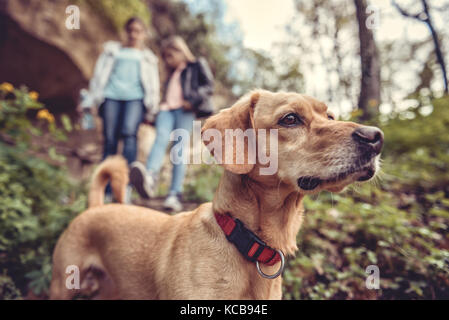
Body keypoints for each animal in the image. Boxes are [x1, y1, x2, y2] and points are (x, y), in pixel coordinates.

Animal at [50, 90, 384, 300]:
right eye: (290, 119)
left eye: (330, 115)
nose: (376, 137)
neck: (246, 241)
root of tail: (95, 207)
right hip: (62, 285)